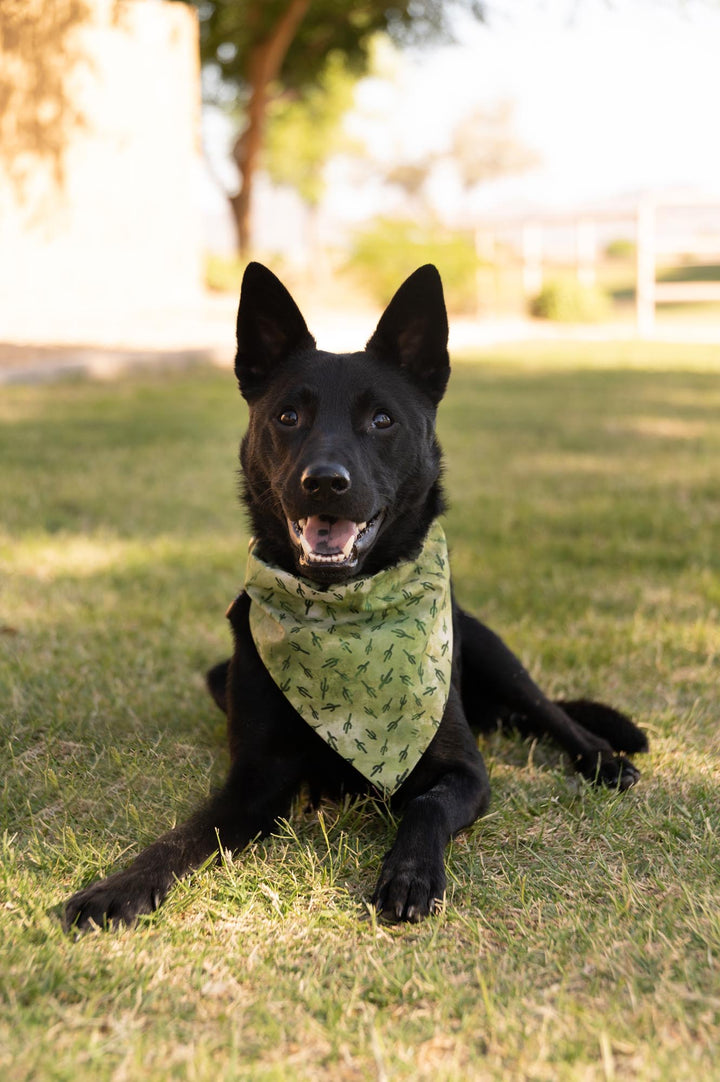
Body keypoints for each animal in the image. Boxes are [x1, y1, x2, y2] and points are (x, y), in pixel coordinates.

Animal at [63, 261, 645, 930]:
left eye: (382, 420)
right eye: (288, 417)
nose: (324, 483)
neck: (344, 618)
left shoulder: (466, 772)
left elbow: (425, 807)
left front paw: (411, 873)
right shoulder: (253, 782)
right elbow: (186, 834)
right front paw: (122, 886)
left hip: (494, 653)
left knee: (552, 715)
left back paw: (604, 758)